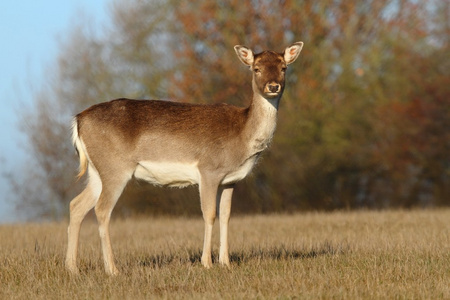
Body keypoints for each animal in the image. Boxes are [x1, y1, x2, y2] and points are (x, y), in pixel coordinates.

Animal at [66, 41, 302, 276]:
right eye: (256, 68)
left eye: (283, 68)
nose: (273, 86)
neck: (242, 136)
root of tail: (78, 120)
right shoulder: (208, 170)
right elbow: (209, 214)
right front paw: (206, 262)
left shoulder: (231, 180)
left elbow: (226, 215)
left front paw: (225, 262)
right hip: (115, 168)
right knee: (102, 210)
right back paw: (112, 269)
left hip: (97, 171)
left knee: (76, 205)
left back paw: (72, 267)